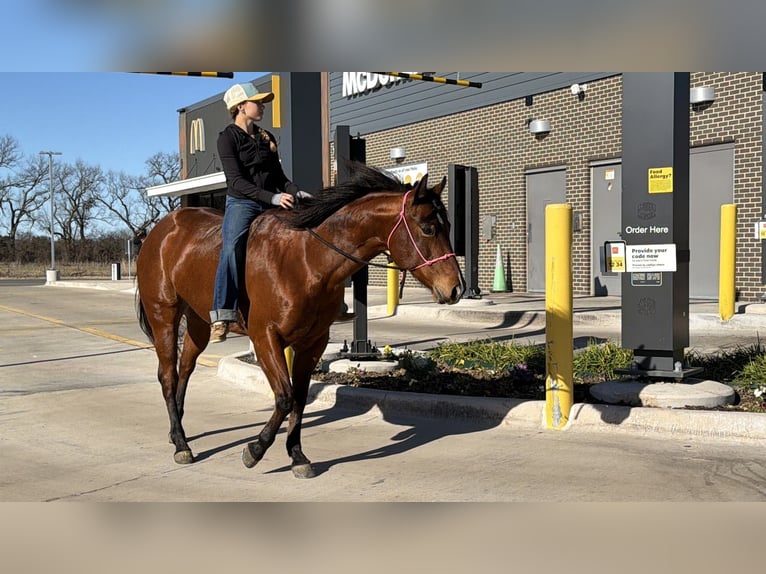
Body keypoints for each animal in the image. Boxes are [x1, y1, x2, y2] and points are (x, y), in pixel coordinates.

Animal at [135, 162, 464, 478]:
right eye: (428, 228)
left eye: (448, 225)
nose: (456, 288)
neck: (306, 258)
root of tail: (161, 229)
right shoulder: (265, 337)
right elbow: (284, 397)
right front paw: (255, 450)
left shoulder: (312, 343)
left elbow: (299, 398)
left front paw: (297, 456)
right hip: (163, 315)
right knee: (168, 375)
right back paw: (181, 444)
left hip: (199, 322)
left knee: (184, 369)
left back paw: (176, 431)